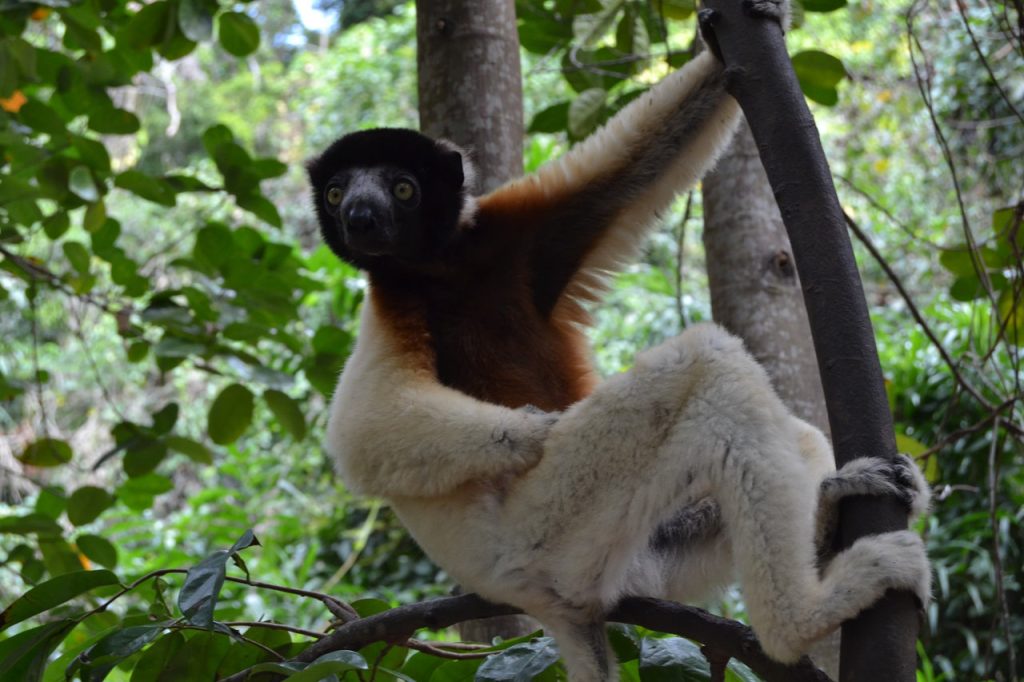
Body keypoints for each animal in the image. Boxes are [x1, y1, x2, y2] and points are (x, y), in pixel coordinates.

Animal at [306, 6, 931, 680]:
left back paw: (833, 502)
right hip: (546, 535)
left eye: (402, 188)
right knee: (704, 369)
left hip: (644, 551)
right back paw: (798, 620)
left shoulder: (514, 239)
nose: (358, 219)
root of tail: (541, 600)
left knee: (788, 442)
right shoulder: (392, 303)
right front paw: (540, 427)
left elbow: (631, 171)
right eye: (337, 192)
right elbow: (364, 432)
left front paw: (733, 34)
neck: (439, 266)